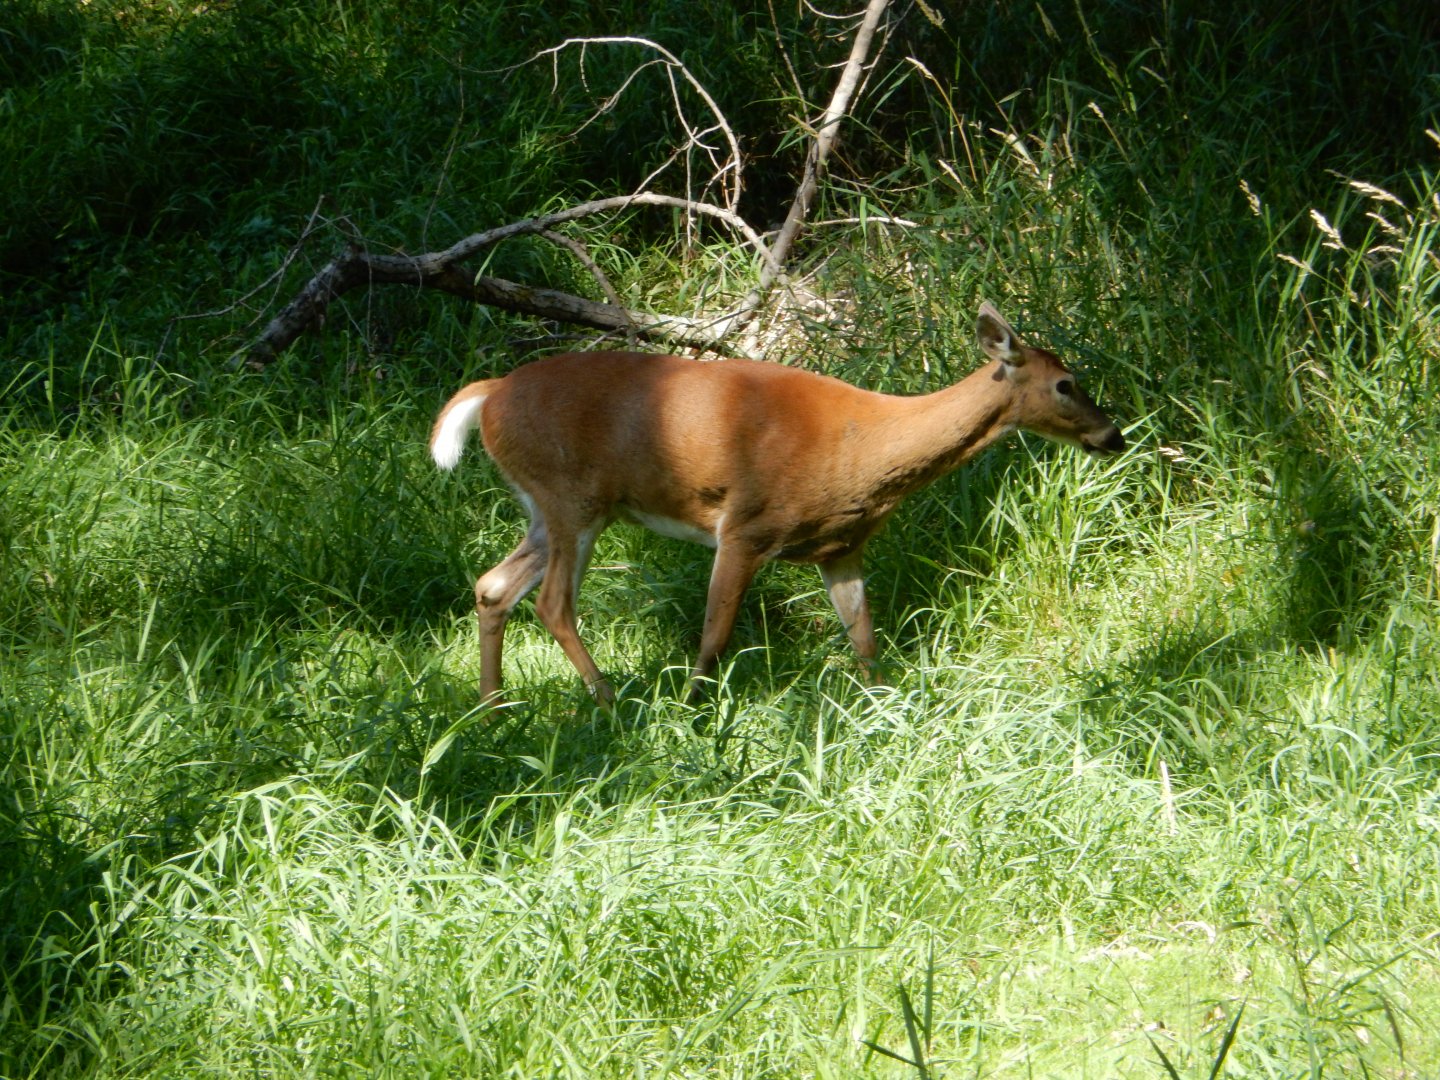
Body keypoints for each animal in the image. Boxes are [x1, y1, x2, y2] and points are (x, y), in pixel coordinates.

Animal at [430, 302, 1125, 706]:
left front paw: (887, 712)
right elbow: (714, 635)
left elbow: (865, 640)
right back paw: (609, 701)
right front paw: (693, 714)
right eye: (1066, 384)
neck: (869, 449)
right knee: (552, 602)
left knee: (493, 585)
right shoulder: (745, 526)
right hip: (571, 497)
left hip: (548, 506)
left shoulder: (842, 547)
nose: (1112, 435)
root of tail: (491, 393)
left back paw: (491, 707)